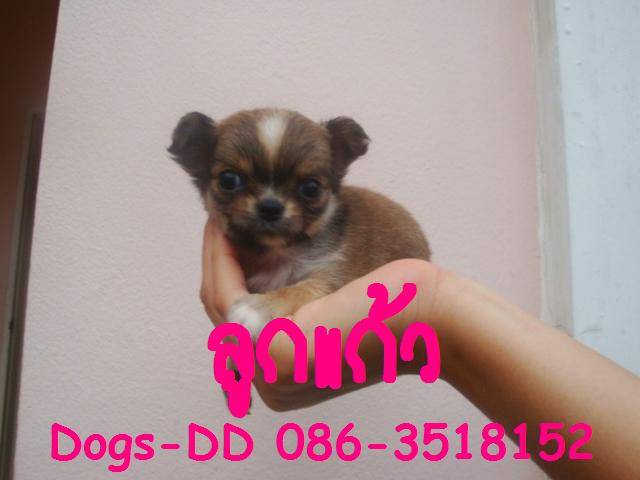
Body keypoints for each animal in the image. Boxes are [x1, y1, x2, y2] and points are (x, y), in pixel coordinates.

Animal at [169, 108, 430, 338]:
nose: (270, 207)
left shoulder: (332, 275)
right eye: (229, 180)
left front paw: (258, 308)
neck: (277, 252)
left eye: (311, 187)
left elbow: (300, 289)